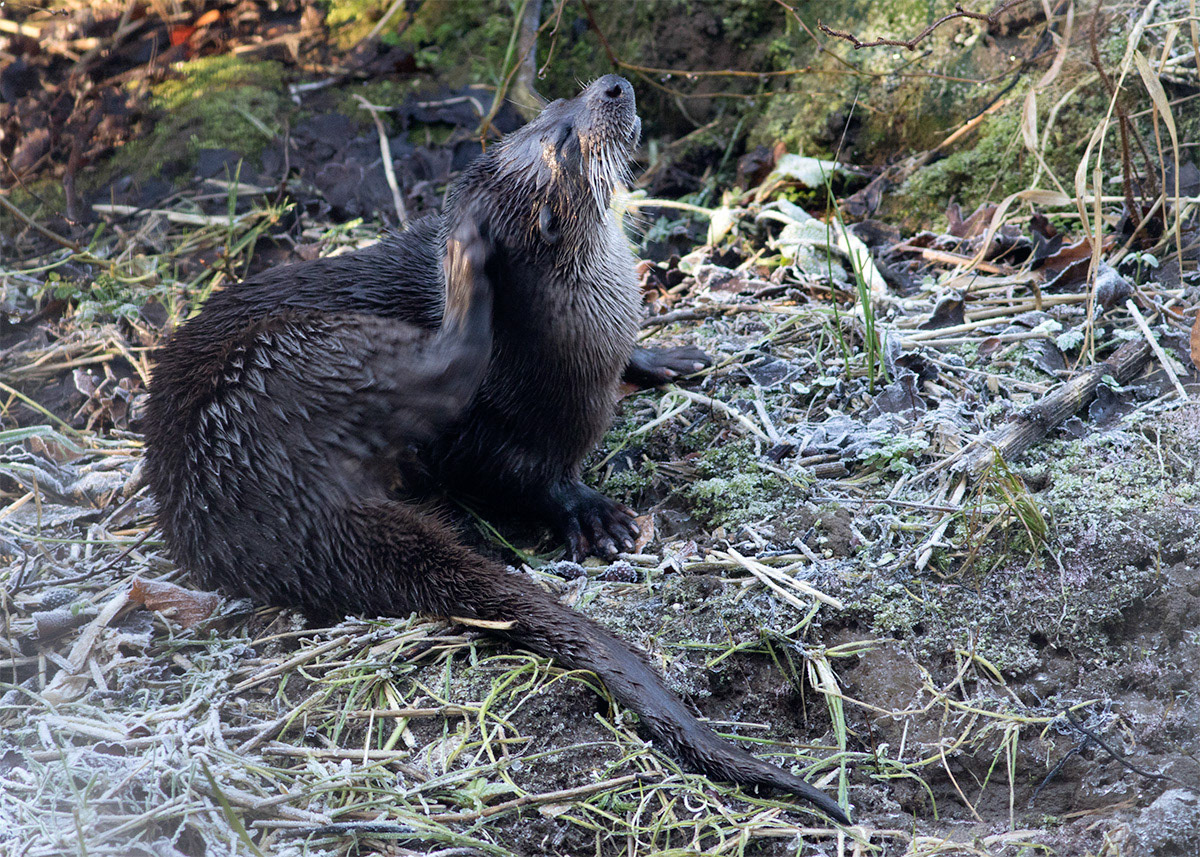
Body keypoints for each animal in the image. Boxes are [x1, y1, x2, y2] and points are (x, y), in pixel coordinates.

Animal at [143, 76, 850, 825]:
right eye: (563, 139)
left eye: (555, 106)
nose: (612, 86)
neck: (582, 318)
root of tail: (259, 496)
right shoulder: (500, 421)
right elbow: (515, 470)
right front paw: (592, 514)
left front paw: (662, 356)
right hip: (294, 355)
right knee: (442, 366)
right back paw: (464, 267)